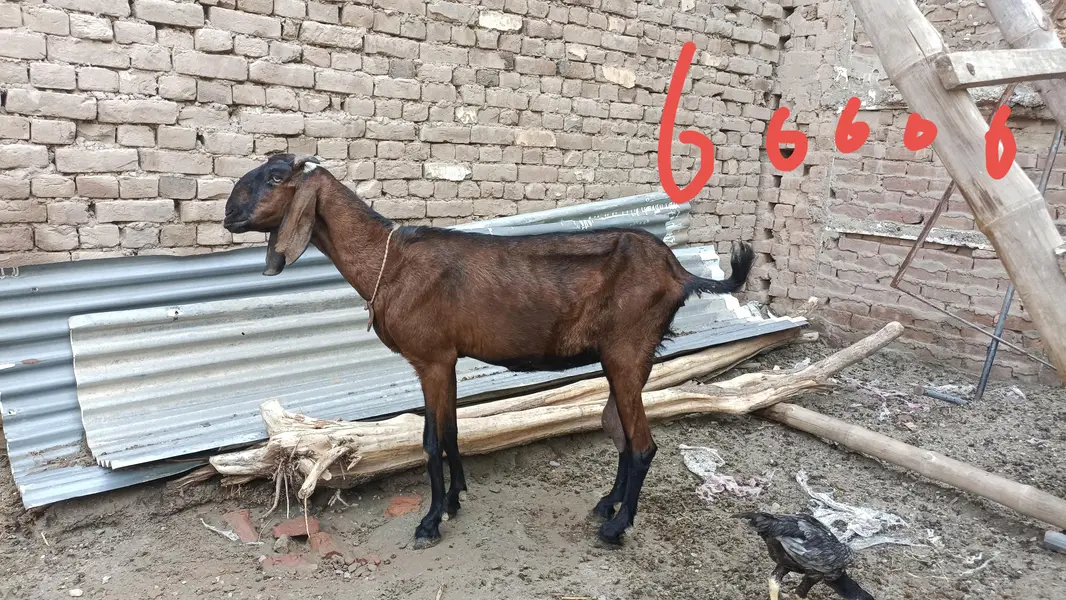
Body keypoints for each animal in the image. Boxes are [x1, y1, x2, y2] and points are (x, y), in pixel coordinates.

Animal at [223, 154, 755, 549]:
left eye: (275, 177)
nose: (228, 213)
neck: (389, 262)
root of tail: (679, 272)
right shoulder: (449, 359)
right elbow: (453, 431)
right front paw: (455, 501)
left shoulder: (431, 358)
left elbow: (430, 441)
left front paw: (430, 521)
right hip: (628, 359)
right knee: (621, 432)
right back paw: (607, 505)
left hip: (627, 352)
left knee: (643, 444)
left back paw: (616, 527)